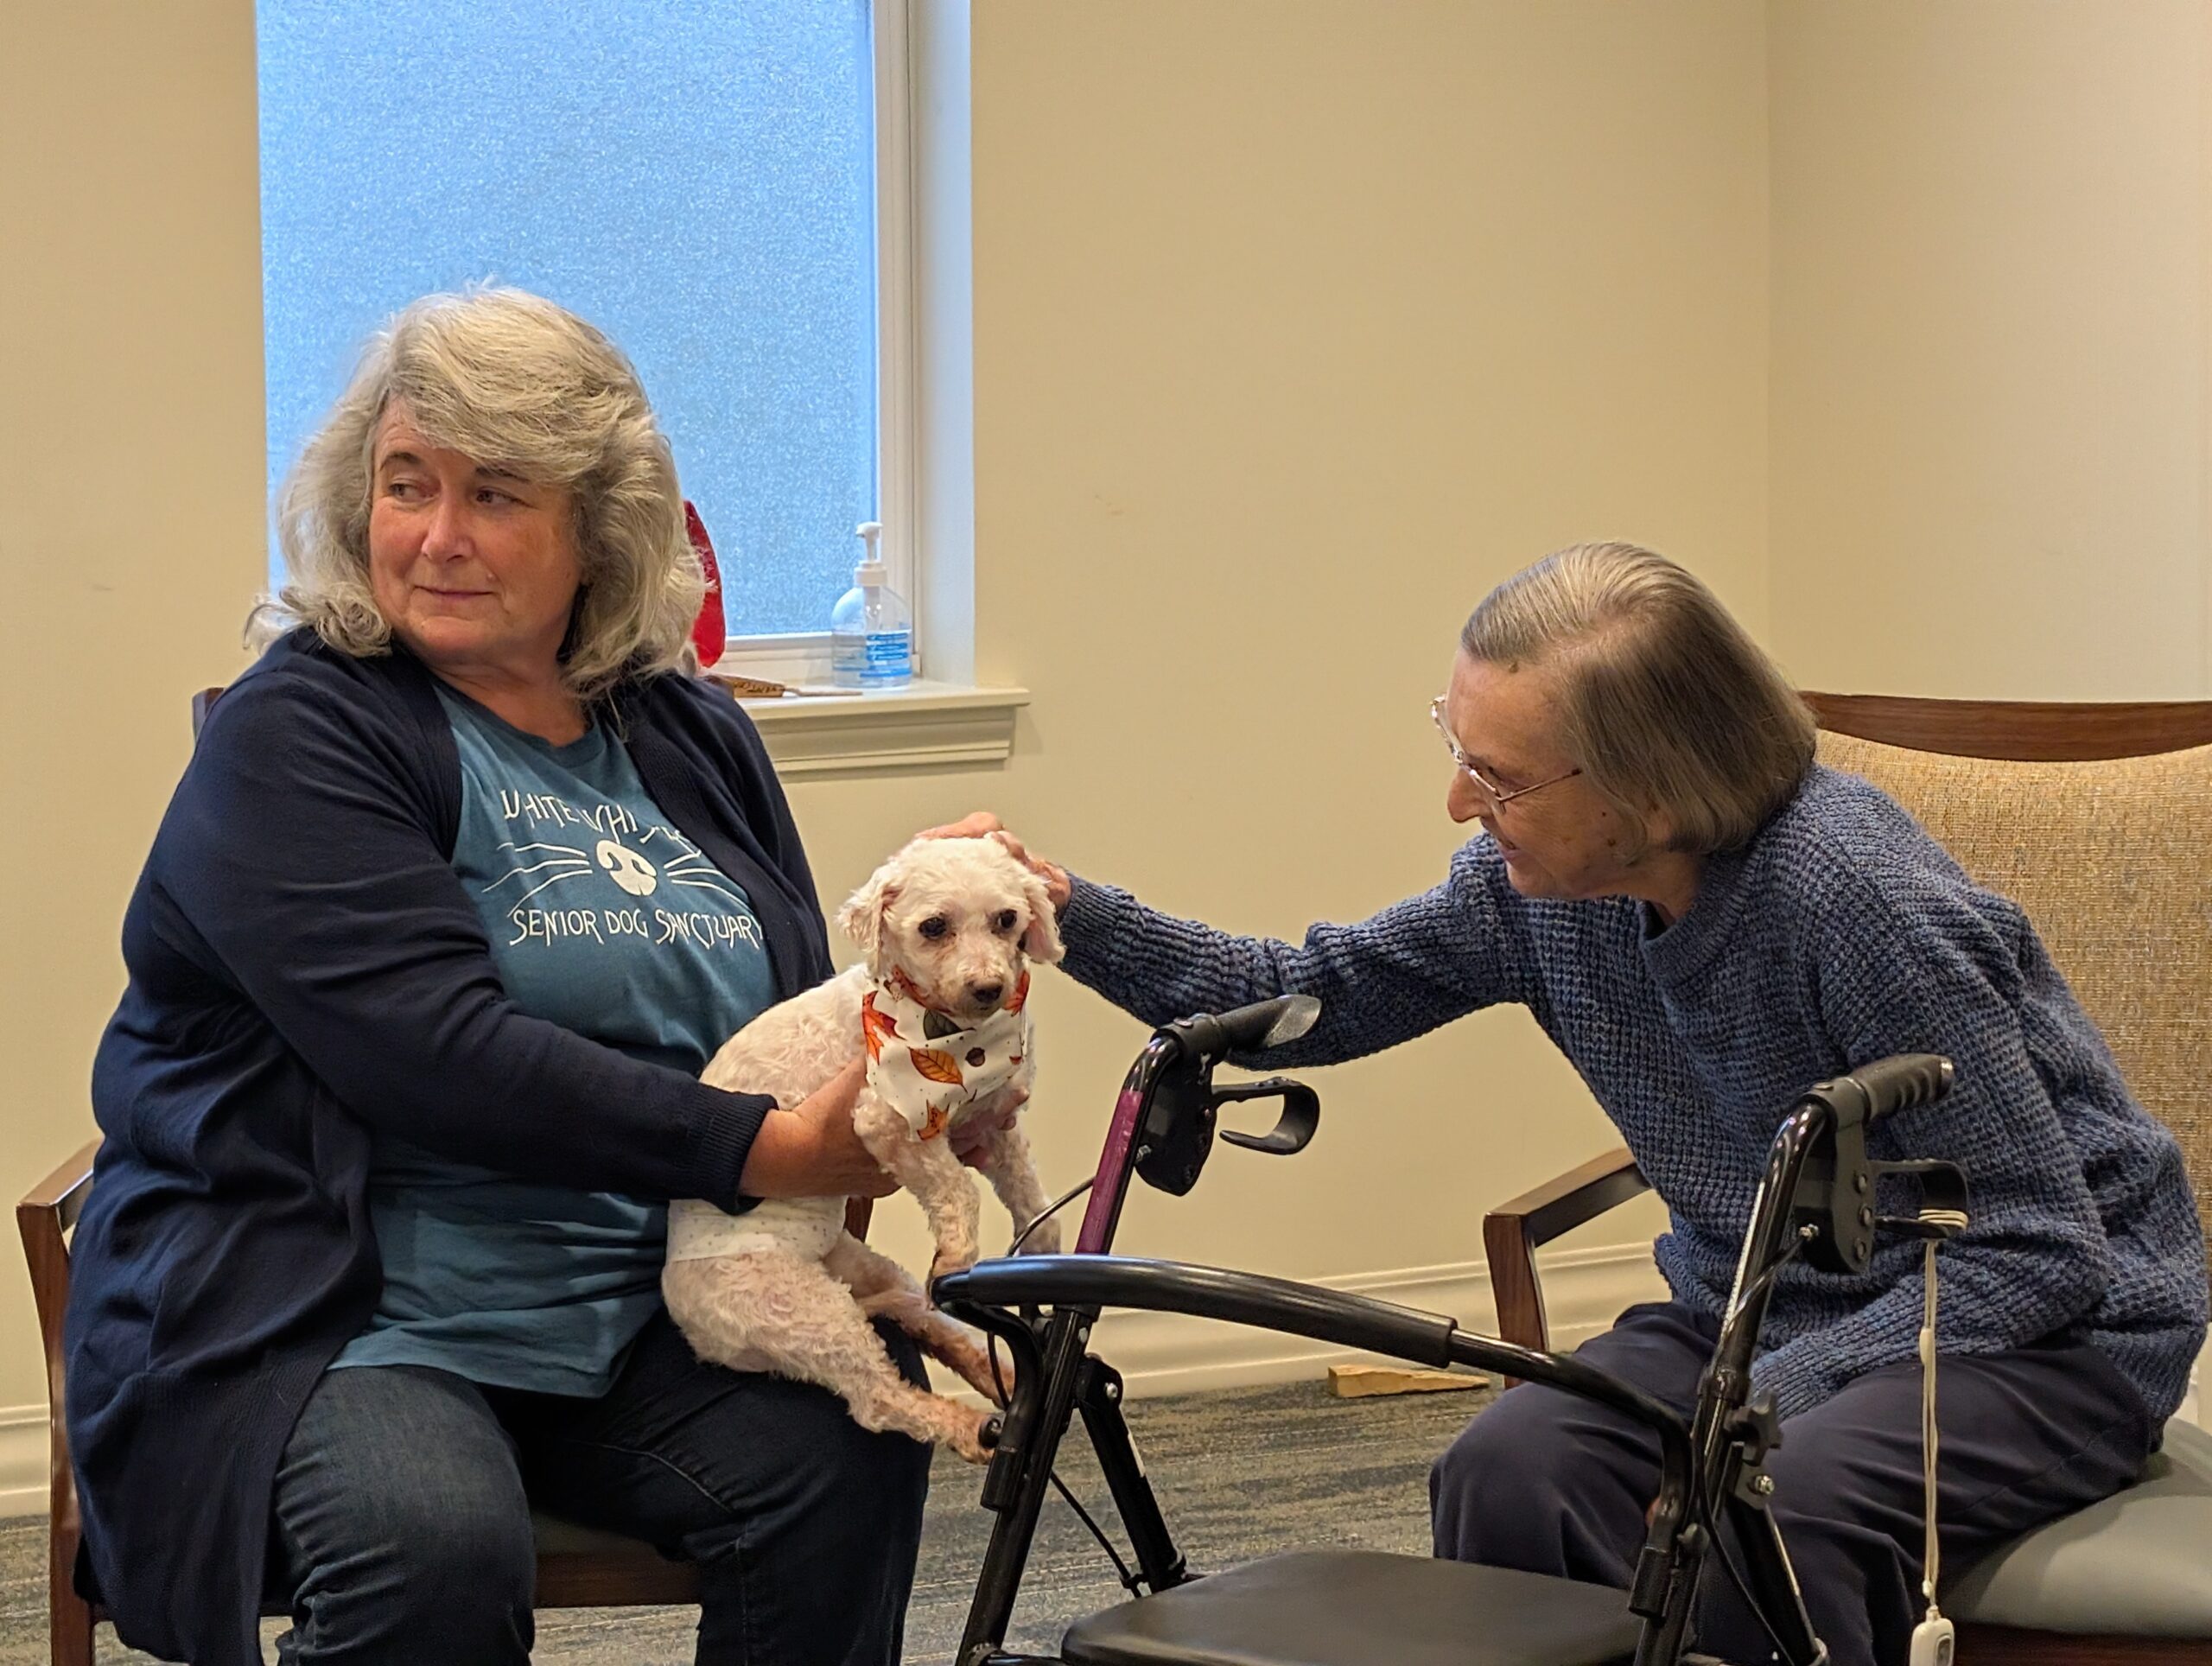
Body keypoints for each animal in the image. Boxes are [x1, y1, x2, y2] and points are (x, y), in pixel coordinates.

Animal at [663, 834, 1063, 1460]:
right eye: (933, 927)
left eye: (1007, 919)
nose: (988, 988)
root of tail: (699, 1335)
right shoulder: (889, 1123)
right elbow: (959, 1189)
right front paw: (959, 1253)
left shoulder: (992, 1124)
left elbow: (1025, 1186)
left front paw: (1041, 1241)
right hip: (803, 1313)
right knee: (877, 1399)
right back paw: (966, 1426)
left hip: (864, 1270)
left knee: (921, 1316)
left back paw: (988, 1369)